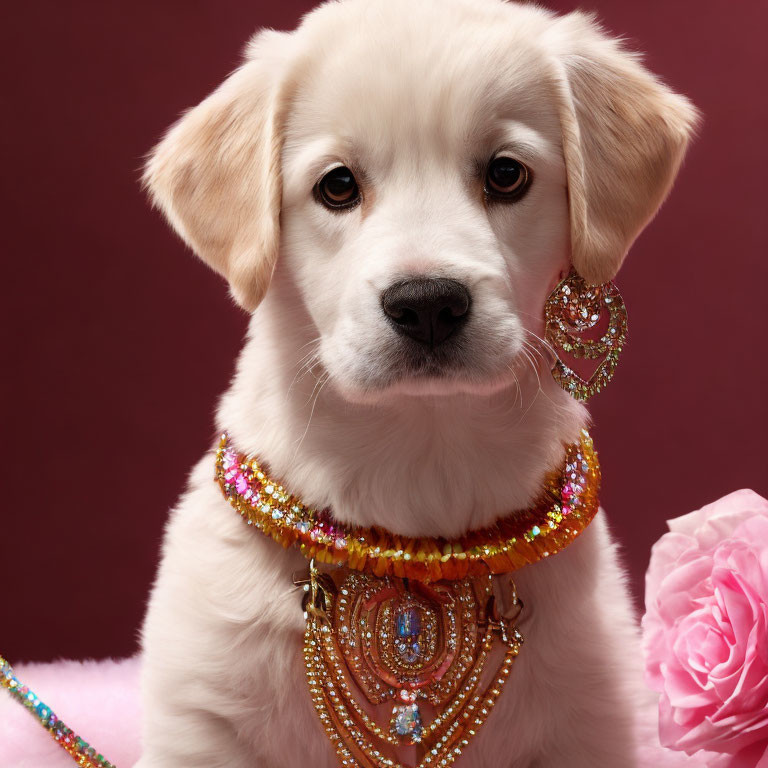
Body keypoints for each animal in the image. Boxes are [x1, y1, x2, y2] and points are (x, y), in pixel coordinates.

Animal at [135, 3, 700, 764]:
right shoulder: (200, 719)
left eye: (506, 174)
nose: (428, 304)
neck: (421, 456)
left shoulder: (590, 719)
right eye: (337, 185)